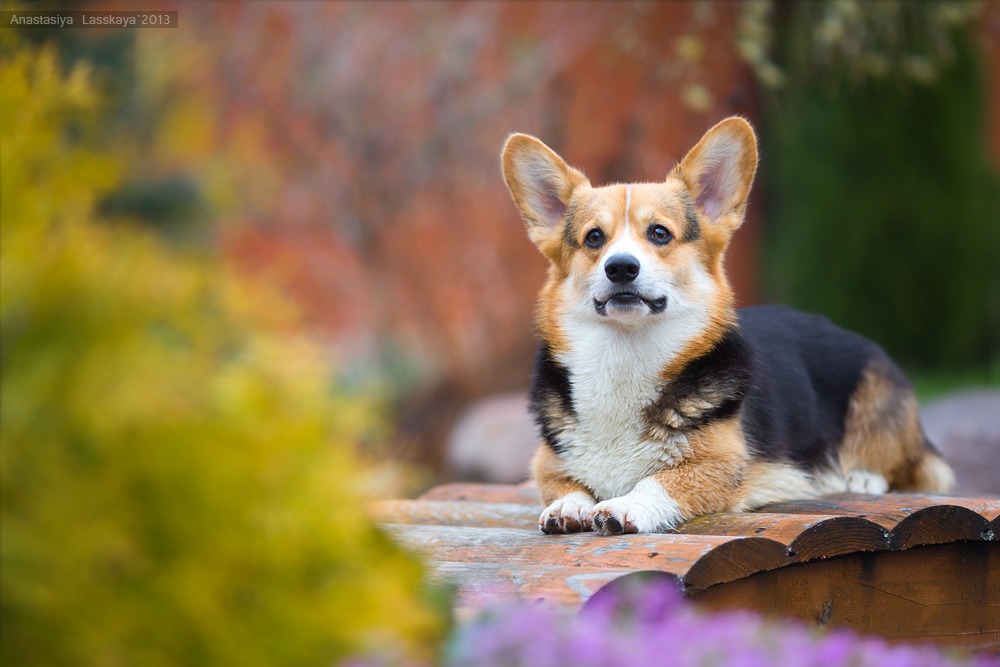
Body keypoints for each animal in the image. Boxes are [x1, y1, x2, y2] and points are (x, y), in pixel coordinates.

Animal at [504, 118, 956, 536]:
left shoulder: (723, 466)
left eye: (659, 233)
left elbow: (659, 480)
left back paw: (860, 476)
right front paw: (567, 506)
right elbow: (564, 483)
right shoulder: (546, 462)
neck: (625, 353)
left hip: (875, 405)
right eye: (594, 238)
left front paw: (625, 505)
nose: (620, 268)